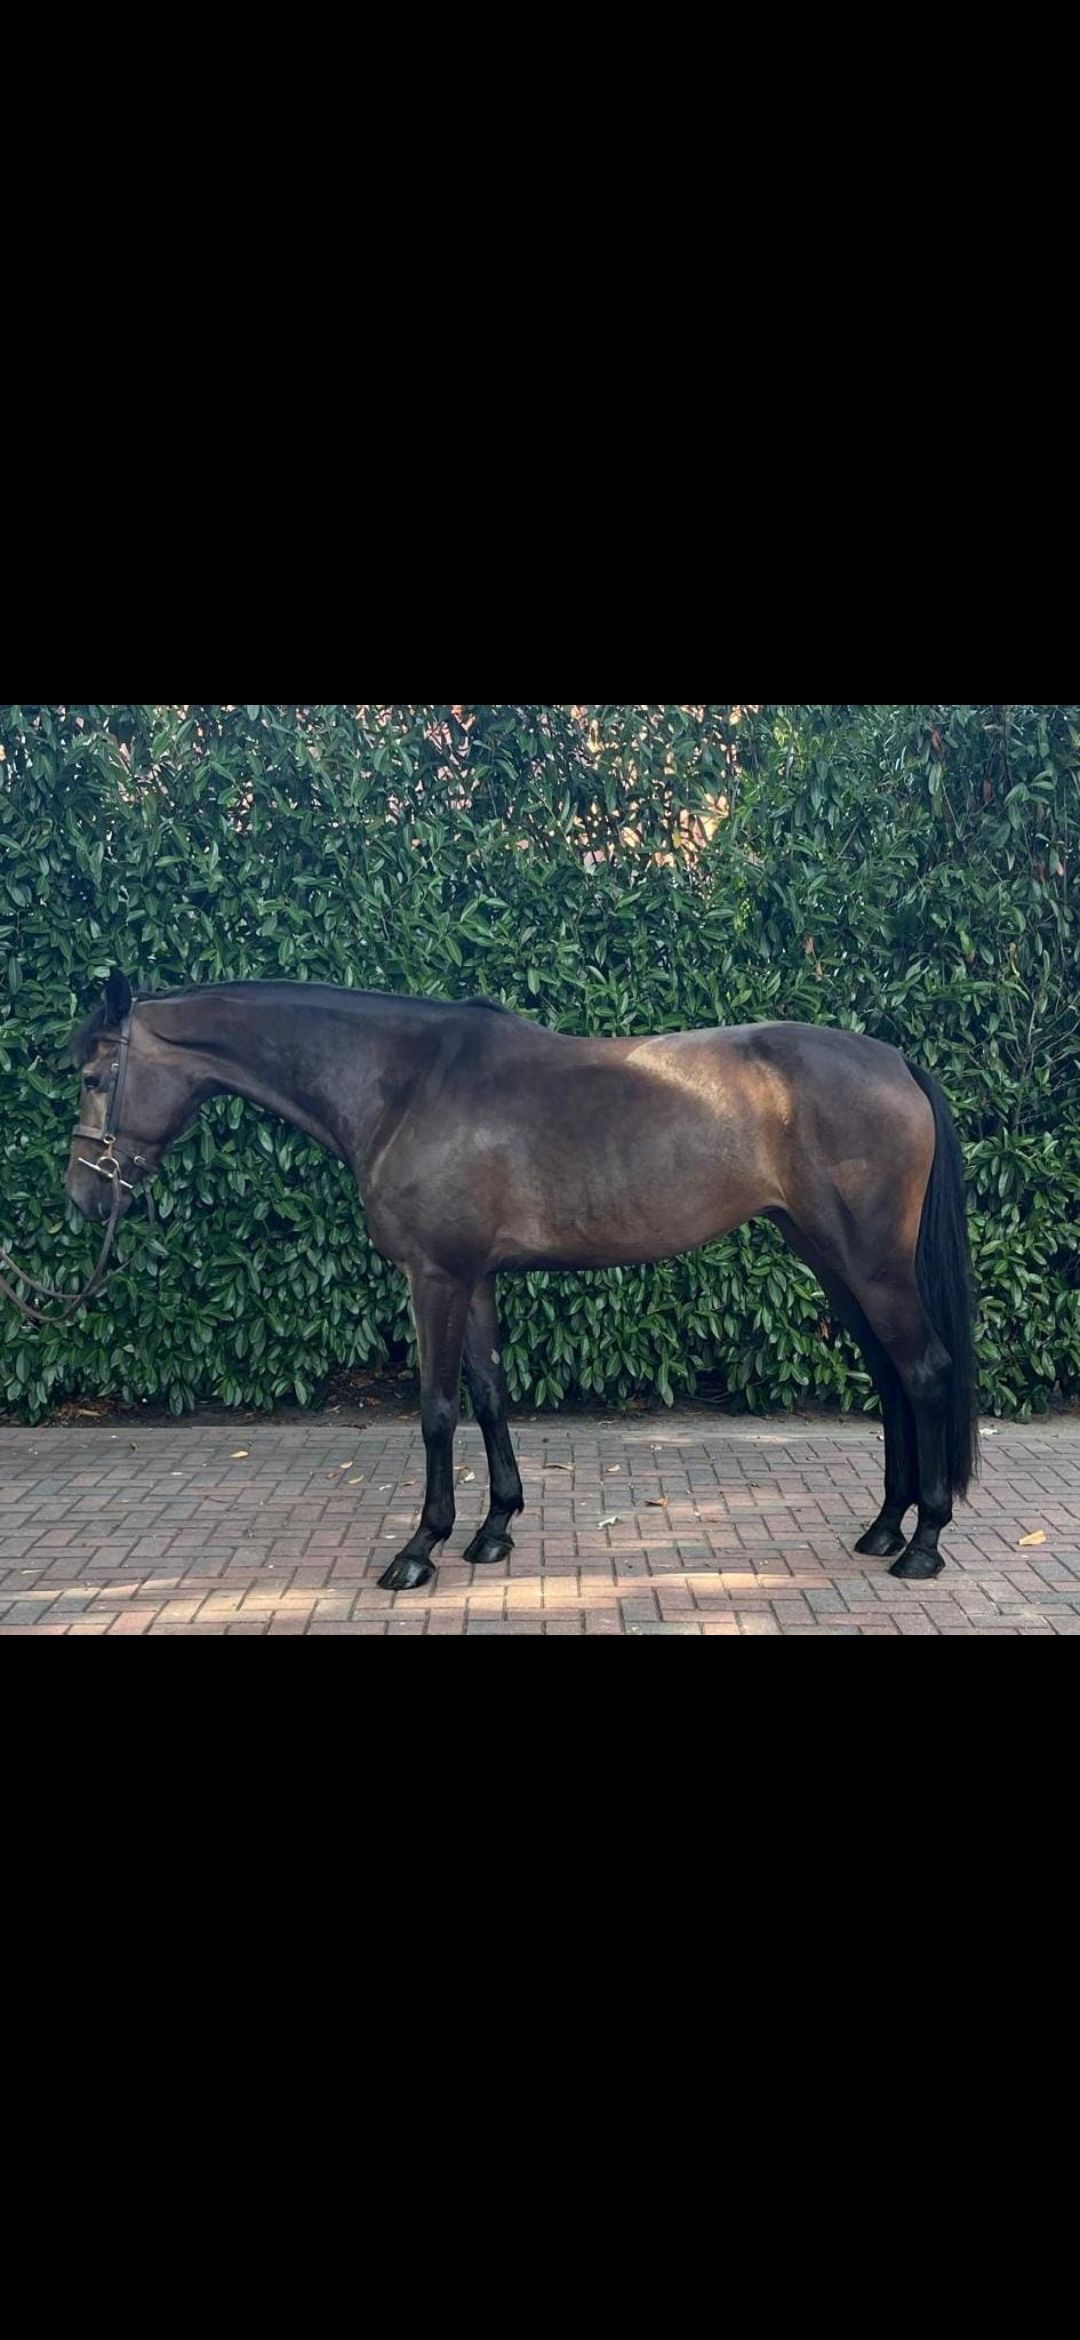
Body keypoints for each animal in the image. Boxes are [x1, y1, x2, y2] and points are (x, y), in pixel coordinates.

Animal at [62, 969, 978, 1592]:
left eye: (95, 1078)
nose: (83, 1194)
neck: (405, 1085)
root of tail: (897, 1062)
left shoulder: (435, 1276)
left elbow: (436, 1409)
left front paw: (419, 1550)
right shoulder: (475, 1278)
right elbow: (490, 1393)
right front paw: (494, 1530)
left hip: (870, 1264)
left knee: (926, 1371)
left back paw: (925, 1543)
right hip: (831, 1260)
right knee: (892, 1378)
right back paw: (883, 1528)